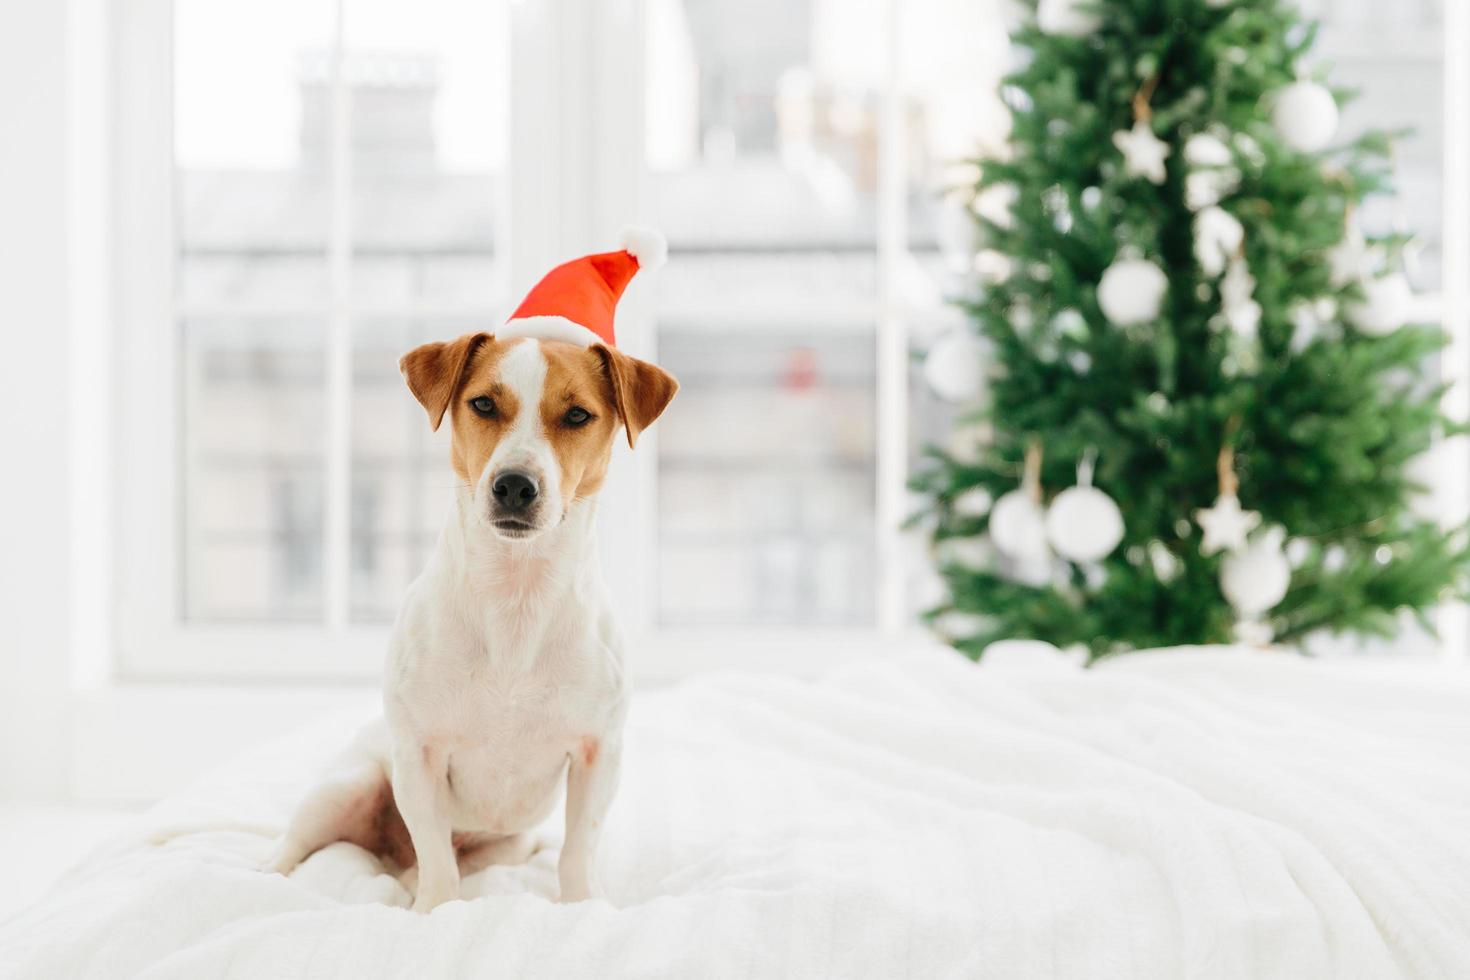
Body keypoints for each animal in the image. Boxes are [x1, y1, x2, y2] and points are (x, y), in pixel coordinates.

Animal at [266, 233, 676, 910]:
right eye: (483, 403)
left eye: (578, 416)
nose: (514, 485)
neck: (516, 596)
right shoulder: (418, 755)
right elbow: (437, 855)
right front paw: (436, 911)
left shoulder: (599, 754)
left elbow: (578, 848)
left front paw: (584, 905)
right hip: (347, 786)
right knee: (298, 844)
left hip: (507, 843)